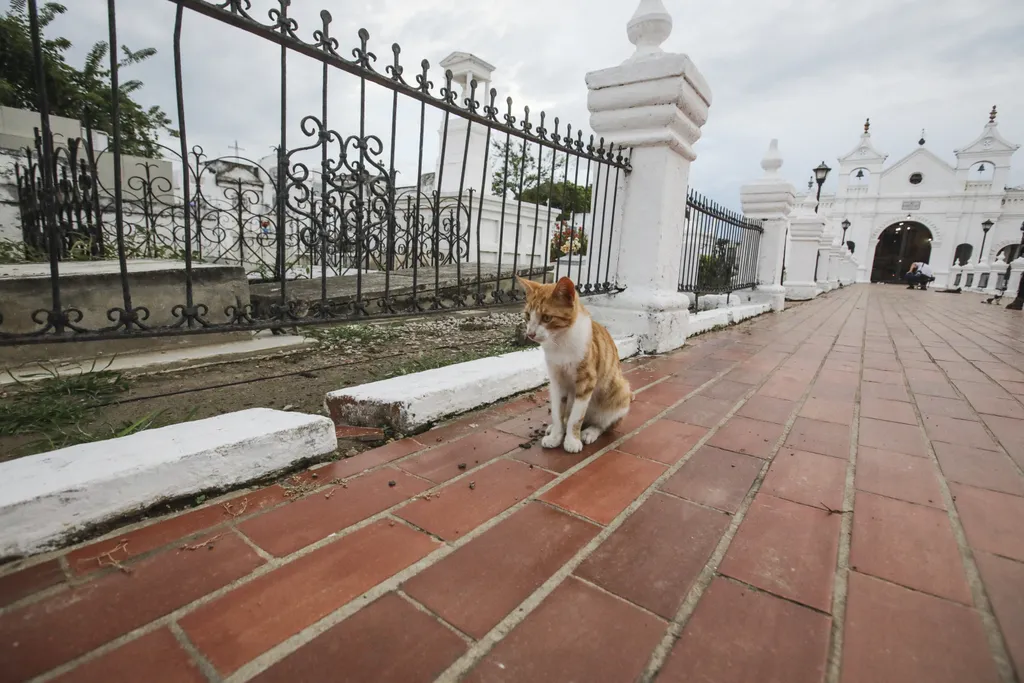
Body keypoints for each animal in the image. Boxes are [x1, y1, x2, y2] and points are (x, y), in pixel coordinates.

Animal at [516, 274, 626, 450]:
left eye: (547, 318)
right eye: (527, 316)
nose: (530, 334)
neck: (559, 343)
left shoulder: (587, 381)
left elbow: (576, 417)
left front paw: (572, 441)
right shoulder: (556, 380)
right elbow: (557, 412)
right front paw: (555, 436)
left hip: (620, 390)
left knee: (602, 423)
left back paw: (590, 432)